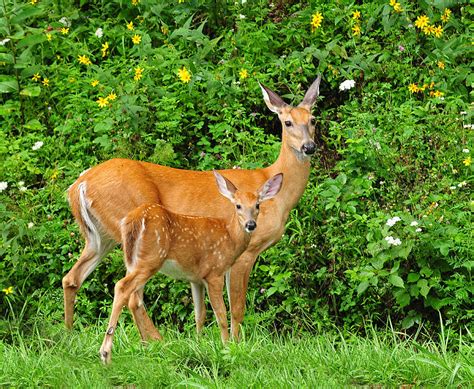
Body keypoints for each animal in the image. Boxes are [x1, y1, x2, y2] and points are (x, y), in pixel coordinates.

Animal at [64, 75, 322, 336]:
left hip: (101, 236)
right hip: (133, 231)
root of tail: (79, 185)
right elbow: (237, 308)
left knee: (72, 278)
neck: (277, 193)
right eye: (287, 122)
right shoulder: (246, 252)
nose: (309, 147)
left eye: (312, 120)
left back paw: (70, 333)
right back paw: (156, 340)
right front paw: (237, 342)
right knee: (133, 294)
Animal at [97, 171, 280, 362]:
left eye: (257, 205)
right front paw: (226, 346)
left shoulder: (196, 279)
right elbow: (221, 313)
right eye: (238, 206)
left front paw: (198, 344)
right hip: (150, 259)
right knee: (122, 287)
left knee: (132, 296)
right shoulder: (214, 272)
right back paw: (106, 352)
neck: (230, 237)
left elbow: (200, 313)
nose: (250, 225)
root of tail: (133, 220)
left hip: (132, 260)